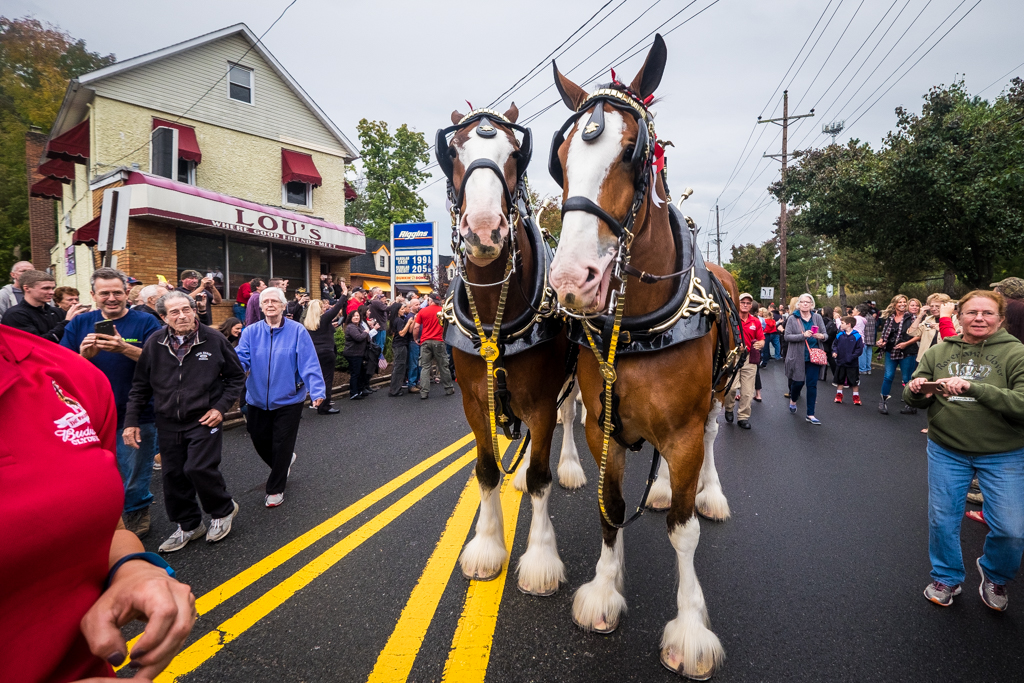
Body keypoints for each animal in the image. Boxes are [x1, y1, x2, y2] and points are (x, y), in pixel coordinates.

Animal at [436, 102, 589, 598]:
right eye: (453, 152)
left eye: (516, 154)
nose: (484, 231)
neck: (494, 315)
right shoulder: (474, 400)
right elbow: (486, 470)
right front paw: (487, 547)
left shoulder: (540, 398)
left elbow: (542, 475)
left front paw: (540, 560)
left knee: (567, 417)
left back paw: (569, 466)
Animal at [548, 36, 741, 679]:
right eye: (559, 159)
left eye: (633, 155)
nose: (571, 279)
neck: (638, 326)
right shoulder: (601, 423)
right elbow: (610, 509)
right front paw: (605, 591)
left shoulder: (681, 431)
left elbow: (683, 534)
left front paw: (690, 628)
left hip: (718, 397)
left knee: (712, 442)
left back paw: (708, 492)